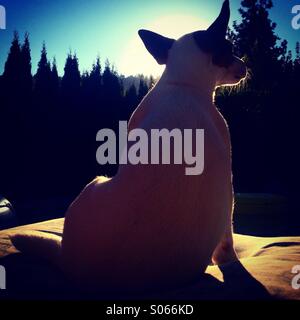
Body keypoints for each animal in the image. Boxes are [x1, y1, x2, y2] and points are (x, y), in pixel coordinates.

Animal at [11, 0, 246, 294]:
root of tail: (68, 261)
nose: (245, 65)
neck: (183, 85)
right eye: (231, 49)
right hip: (95, 180)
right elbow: (227, 236)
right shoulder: (229, 181)